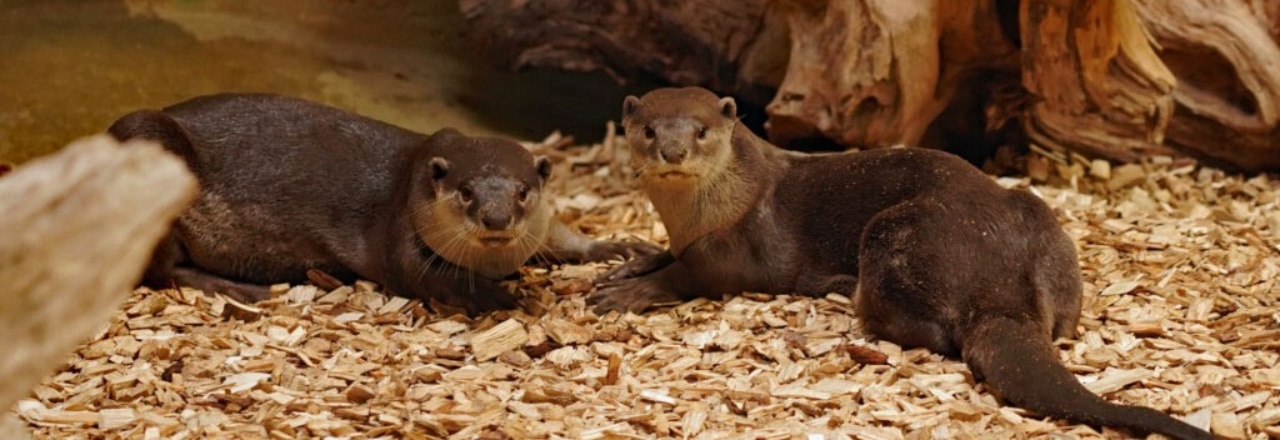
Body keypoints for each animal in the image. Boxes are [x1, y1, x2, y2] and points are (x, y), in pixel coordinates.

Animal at [588, 86, 1208, 440]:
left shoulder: (735, 247)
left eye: (701, 131)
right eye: (648, 130)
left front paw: (630, 292)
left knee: (927, 331)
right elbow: (666, 254)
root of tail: (996, 290)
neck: (702, 212)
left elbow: (691, 273)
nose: (672, 151)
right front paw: (630, 264)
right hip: (1040, 221)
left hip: (892, 234)